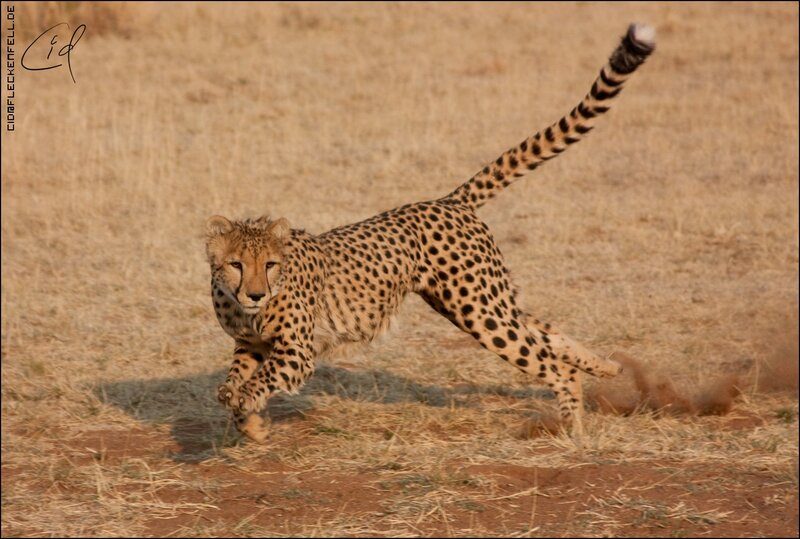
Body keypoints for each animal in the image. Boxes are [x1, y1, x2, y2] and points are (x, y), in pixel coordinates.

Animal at [205, 23, 655, 443]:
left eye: (270, 265)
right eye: (236, 264)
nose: (256, 294)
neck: (246, 307)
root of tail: (448, 201)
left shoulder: (297, 351)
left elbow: (258, 382)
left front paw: (247, 407)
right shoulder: (252, 345)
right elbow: (233, 383)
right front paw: (248, 421)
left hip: (480, 310)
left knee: (548, 361)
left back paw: (573, 430)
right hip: (479, 300)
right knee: (546, 333)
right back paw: (607, 367)